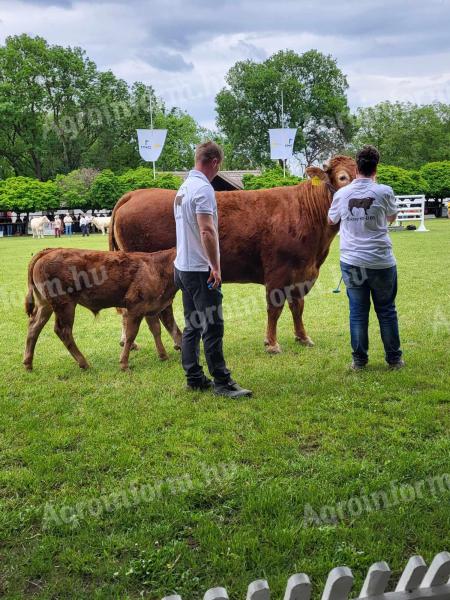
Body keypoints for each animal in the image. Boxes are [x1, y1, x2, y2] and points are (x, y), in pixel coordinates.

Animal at [22, 247, 178, 370]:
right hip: (64, 305)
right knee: (63, 331)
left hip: (45, 304)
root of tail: (48, 251)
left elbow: (156, 330)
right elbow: (130, 334)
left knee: (34, 326)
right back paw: (84, 363)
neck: (157, 268)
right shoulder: (135, 307)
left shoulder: (151, 307)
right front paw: (124, 363)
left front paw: (163, 355)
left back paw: (28, 363)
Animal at [110, 155, 356, 356]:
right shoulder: (277, 272)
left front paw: (303, 337)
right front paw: (272, 343)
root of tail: (136, 193)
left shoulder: (302, 273)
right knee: (156, 310)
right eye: (342, 177)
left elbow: (298, 306)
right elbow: (274, 308)